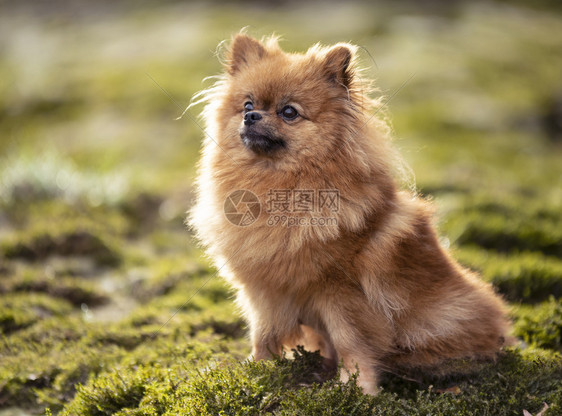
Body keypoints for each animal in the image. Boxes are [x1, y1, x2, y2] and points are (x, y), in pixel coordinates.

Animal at [190, 32, 510, 394]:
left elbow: (351, 343)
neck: (277, 185)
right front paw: (256, 370)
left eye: (289, 112)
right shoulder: (264, 290)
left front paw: (355, 388)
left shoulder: (342, 293)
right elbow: (263, 334)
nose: (252, 116)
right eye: (246, 105)